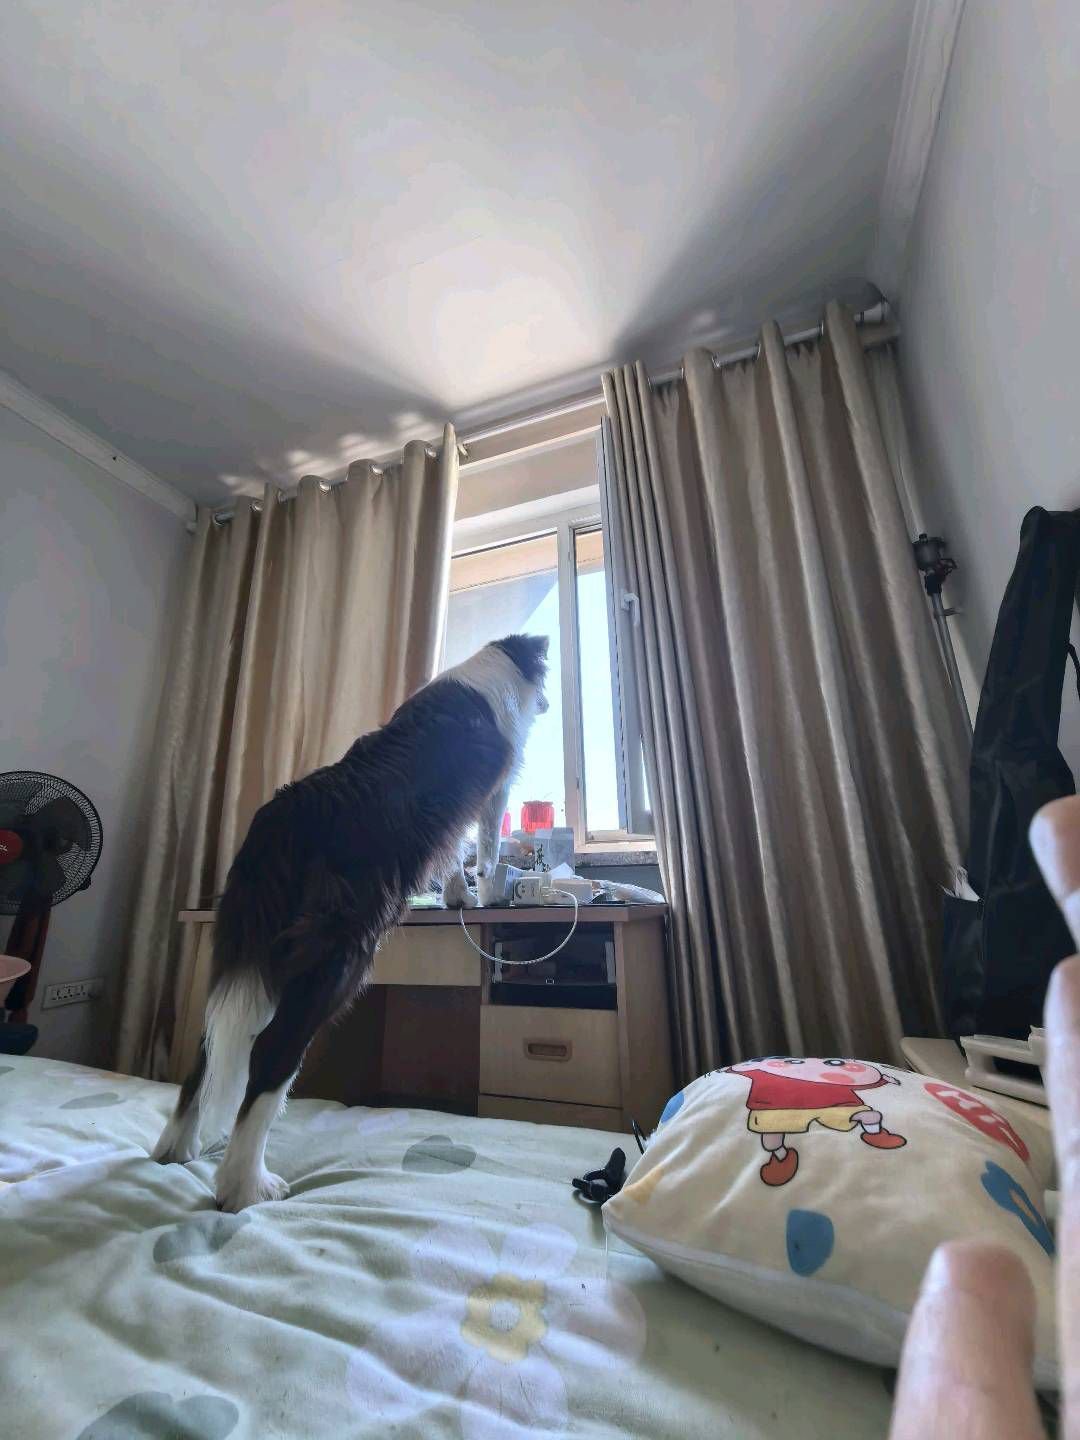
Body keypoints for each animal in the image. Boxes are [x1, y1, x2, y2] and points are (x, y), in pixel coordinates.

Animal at [152, 633, 548, 1211]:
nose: (548, 704)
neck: (493, 661)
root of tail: (284, 817)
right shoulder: (492, 791)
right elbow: (487, 848)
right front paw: (489, 894)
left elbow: (452, 857)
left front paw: (457, 896)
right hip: (338, 952)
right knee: (270, 1054)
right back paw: (244, 1185)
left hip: (249, 948)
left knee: (207, 1044)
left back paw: (177, 1148)